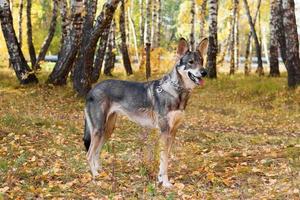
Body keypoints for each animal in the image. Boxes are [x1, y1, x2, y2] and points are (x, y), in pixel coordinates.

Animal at [83, 37, 207, 188]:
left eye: (202, 61)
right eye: (191, 62)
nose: (204, 72)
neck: (176, 92)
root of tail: (92, 89)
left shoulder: (173, 132)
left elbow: (165, 160)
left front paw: (161, 179)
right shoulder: (165, 132)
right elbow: (164, 160)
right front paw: (165, 183)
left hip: (108, 130)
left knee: (96, 152)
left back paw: (101, 172)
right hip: (99, 129)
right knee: (89, 154)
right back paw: (96, 176)